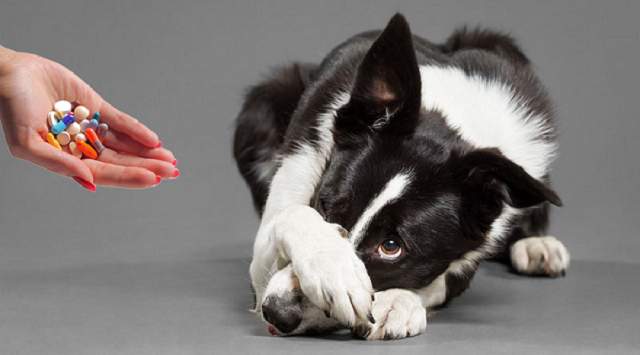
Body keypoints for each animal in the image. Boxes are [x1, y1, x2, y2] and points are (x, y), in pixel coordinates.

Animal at [232, 13, 568, 340]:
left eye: (391, 247)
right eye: (325, 206)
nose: (276, 312)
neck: (454, 118)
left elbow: (437, 281)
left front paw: (396, 301)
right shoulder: (262, 268)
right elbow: (291, 214)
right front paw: (335, 270)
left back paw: (536, 244)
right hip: (262, 104)